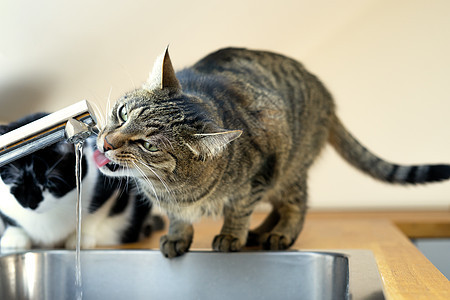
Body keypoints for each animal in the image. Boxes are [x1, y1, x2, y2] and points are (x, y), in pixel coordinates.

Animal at [0, 112, 162, 251]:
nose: (30, 204)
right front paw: (14, 238)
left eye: (49, 183)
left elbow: (95, 214)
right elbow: (9, 220)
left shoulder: (108, 183)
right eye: (15, 183)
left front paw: (80, 238)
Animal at [93, 47, 448, 258]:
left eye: (149, 145)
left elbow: (239, 210)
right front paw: (178, 236)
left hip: (288, 166)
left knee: (296, 204)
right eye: (122, 113)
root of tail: (326, 95)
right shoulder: (176, 204)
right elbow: (179, 219)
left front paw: (231, 235)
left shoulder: (258, 174)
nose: (106, 142)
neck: (173, 189)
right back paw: (261, 232)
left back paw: (278, 234)